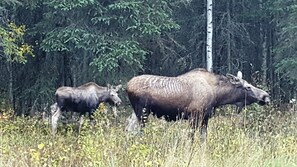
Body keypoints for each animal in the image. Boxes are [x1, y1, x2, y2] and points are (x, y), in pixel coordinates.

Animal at [125, 68, 268, 141]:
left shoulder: (205, 118)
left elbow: (203, 138)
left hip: (136, 112)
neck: (217, 96)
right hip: (142, 112)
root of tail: (127, 86)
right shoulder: (194, 116)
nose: (265, 96)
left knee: (128, 129)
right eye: (248, 87)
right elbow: (191, 138)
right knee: (138, 131)